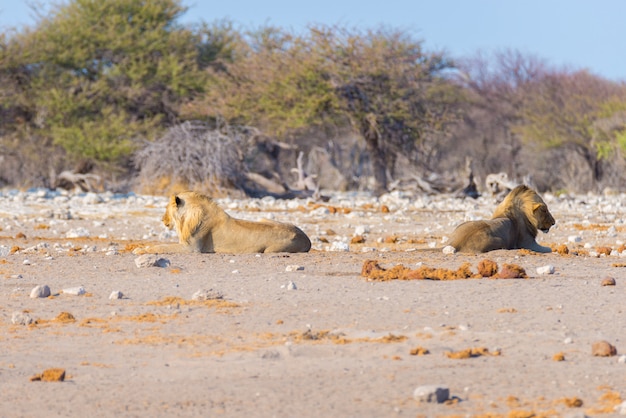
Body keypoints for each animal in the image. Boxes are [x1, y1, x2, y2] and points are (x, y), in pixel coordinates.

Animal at [136, 191, 312, 253]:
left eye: (166, 208)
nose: (162, 219)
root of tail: (307, 239)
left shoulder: (192, 248)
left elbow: (161, 246)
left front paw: (140, 250)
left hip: (271, 250)